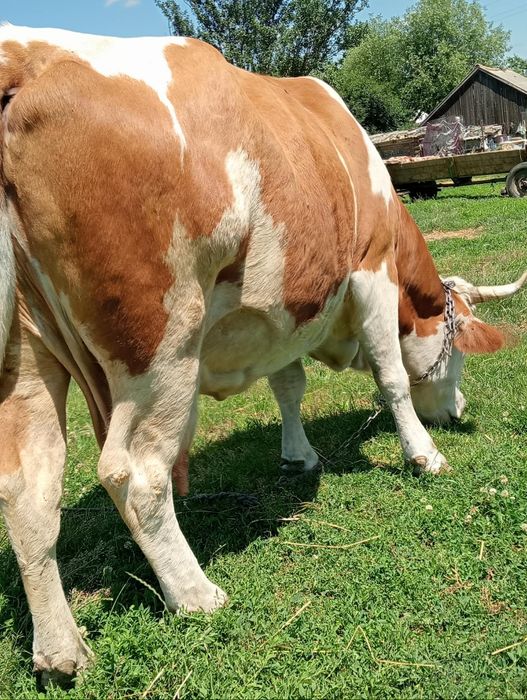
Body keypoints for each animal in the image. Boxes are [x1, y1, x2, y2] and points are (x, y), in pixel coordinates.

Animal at [0, 24, 525, 683]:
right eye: (458, 350)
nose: (458, 410)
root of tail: (29, 58)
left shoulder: (281, 316)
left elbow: (289, 386)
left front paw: (298, 455)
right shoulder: (370, 266)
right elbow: (391, 377)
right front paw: (424, 454)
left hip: (25, 358)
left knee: (29, 493)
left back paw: (62, 652)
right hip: (162, 340)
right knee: (135, 473)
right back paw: (195, 594)